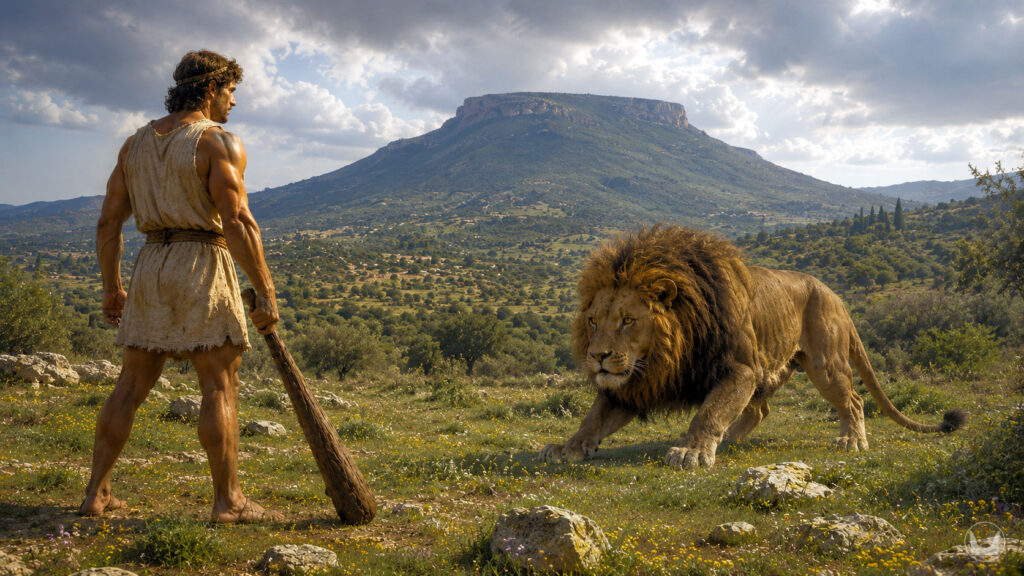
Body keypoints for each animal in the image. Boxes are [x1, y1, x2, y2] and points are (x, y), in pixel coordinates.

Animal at [540, 225, 965, 469]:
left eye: (628, 320)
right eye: (593, 321)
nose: (597, 357)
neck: (667, 351)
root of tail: (835, 294)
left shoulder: (739, 368)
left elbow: (708, 412)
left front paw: (691, 451)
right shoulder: (634, 383)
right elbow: (593, 419)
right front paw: (567, 447)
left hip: (824, 363)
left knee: (854, 400)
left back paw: (851, 440)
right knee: (760, 409)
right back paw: (730, 439)